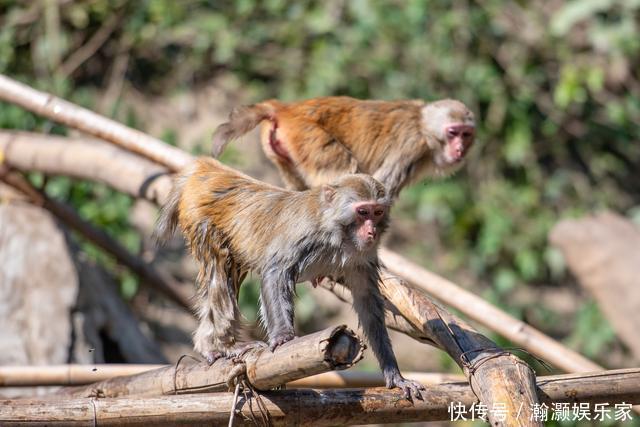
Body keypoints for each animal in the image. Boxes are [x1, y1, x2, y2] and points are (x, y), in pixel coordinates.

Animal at [156, 158, 424, 402]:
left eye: (377, 213)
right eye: (362, 212)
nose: (372, 232)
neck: (337, 235)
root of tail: (208, 168)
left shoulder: (362, 259)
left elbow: (367, 304)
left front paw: (394, 375)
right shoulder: (306, 235)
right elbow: (276, 271)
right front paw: (283, 336)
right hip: (202, 218)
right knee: (221, 269)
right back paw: (220, 345)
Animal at [211, 96, 476, 198]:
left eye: (466, 135)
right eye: (453, 133)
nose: (460, 149)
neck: (423, 125)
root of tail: (286, 109)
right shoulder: (411, 147)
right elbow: (380, 185)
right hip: (308, 135)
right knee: (347, 170)